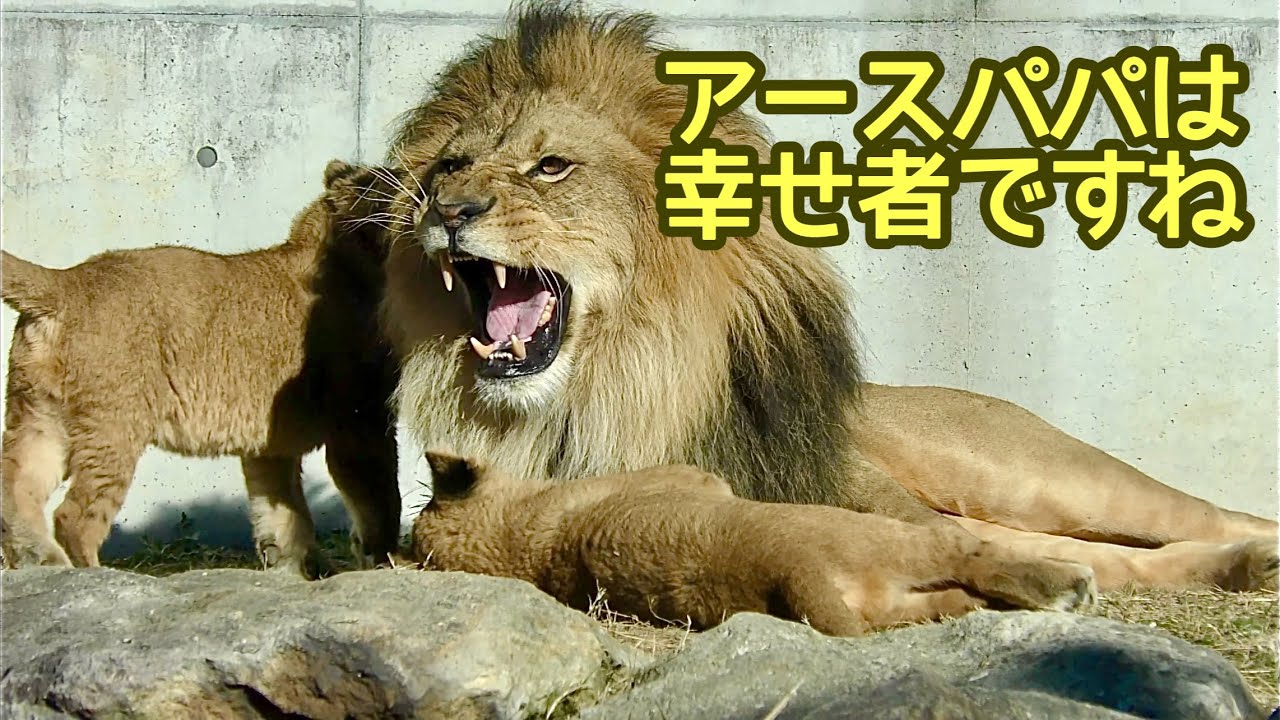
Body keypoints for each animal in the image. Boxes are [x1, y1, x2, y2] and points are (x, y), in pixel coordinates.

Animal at [1, 160, 404, 577]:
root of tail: (64, 283)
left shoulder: (270, 445)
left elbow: (282, 514)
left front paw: (292, 569)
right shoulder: (359, 421)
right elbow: (379, 499)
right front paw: (386, 560)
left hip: (39, 417)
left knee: (13, 490)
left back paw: (40, 562)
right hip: (114, 424)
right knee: (74, 516)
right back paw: (90, 571)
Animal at [378, 2, 1278, 592]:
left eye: (552, 167)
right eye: (450, 165)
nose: (448, 210)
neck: (593, 401)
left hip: (1043, 476)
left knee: (1194, 517)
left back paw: (1250, 550)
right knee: (1113, 555)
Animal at [412, 452, 1097, 635]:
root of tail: (787, 568)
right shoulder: (699, 478)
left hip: (882, 599)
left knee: (949, 599)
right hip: (877, 536)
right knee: (963, 553)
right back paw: (1064, 585)